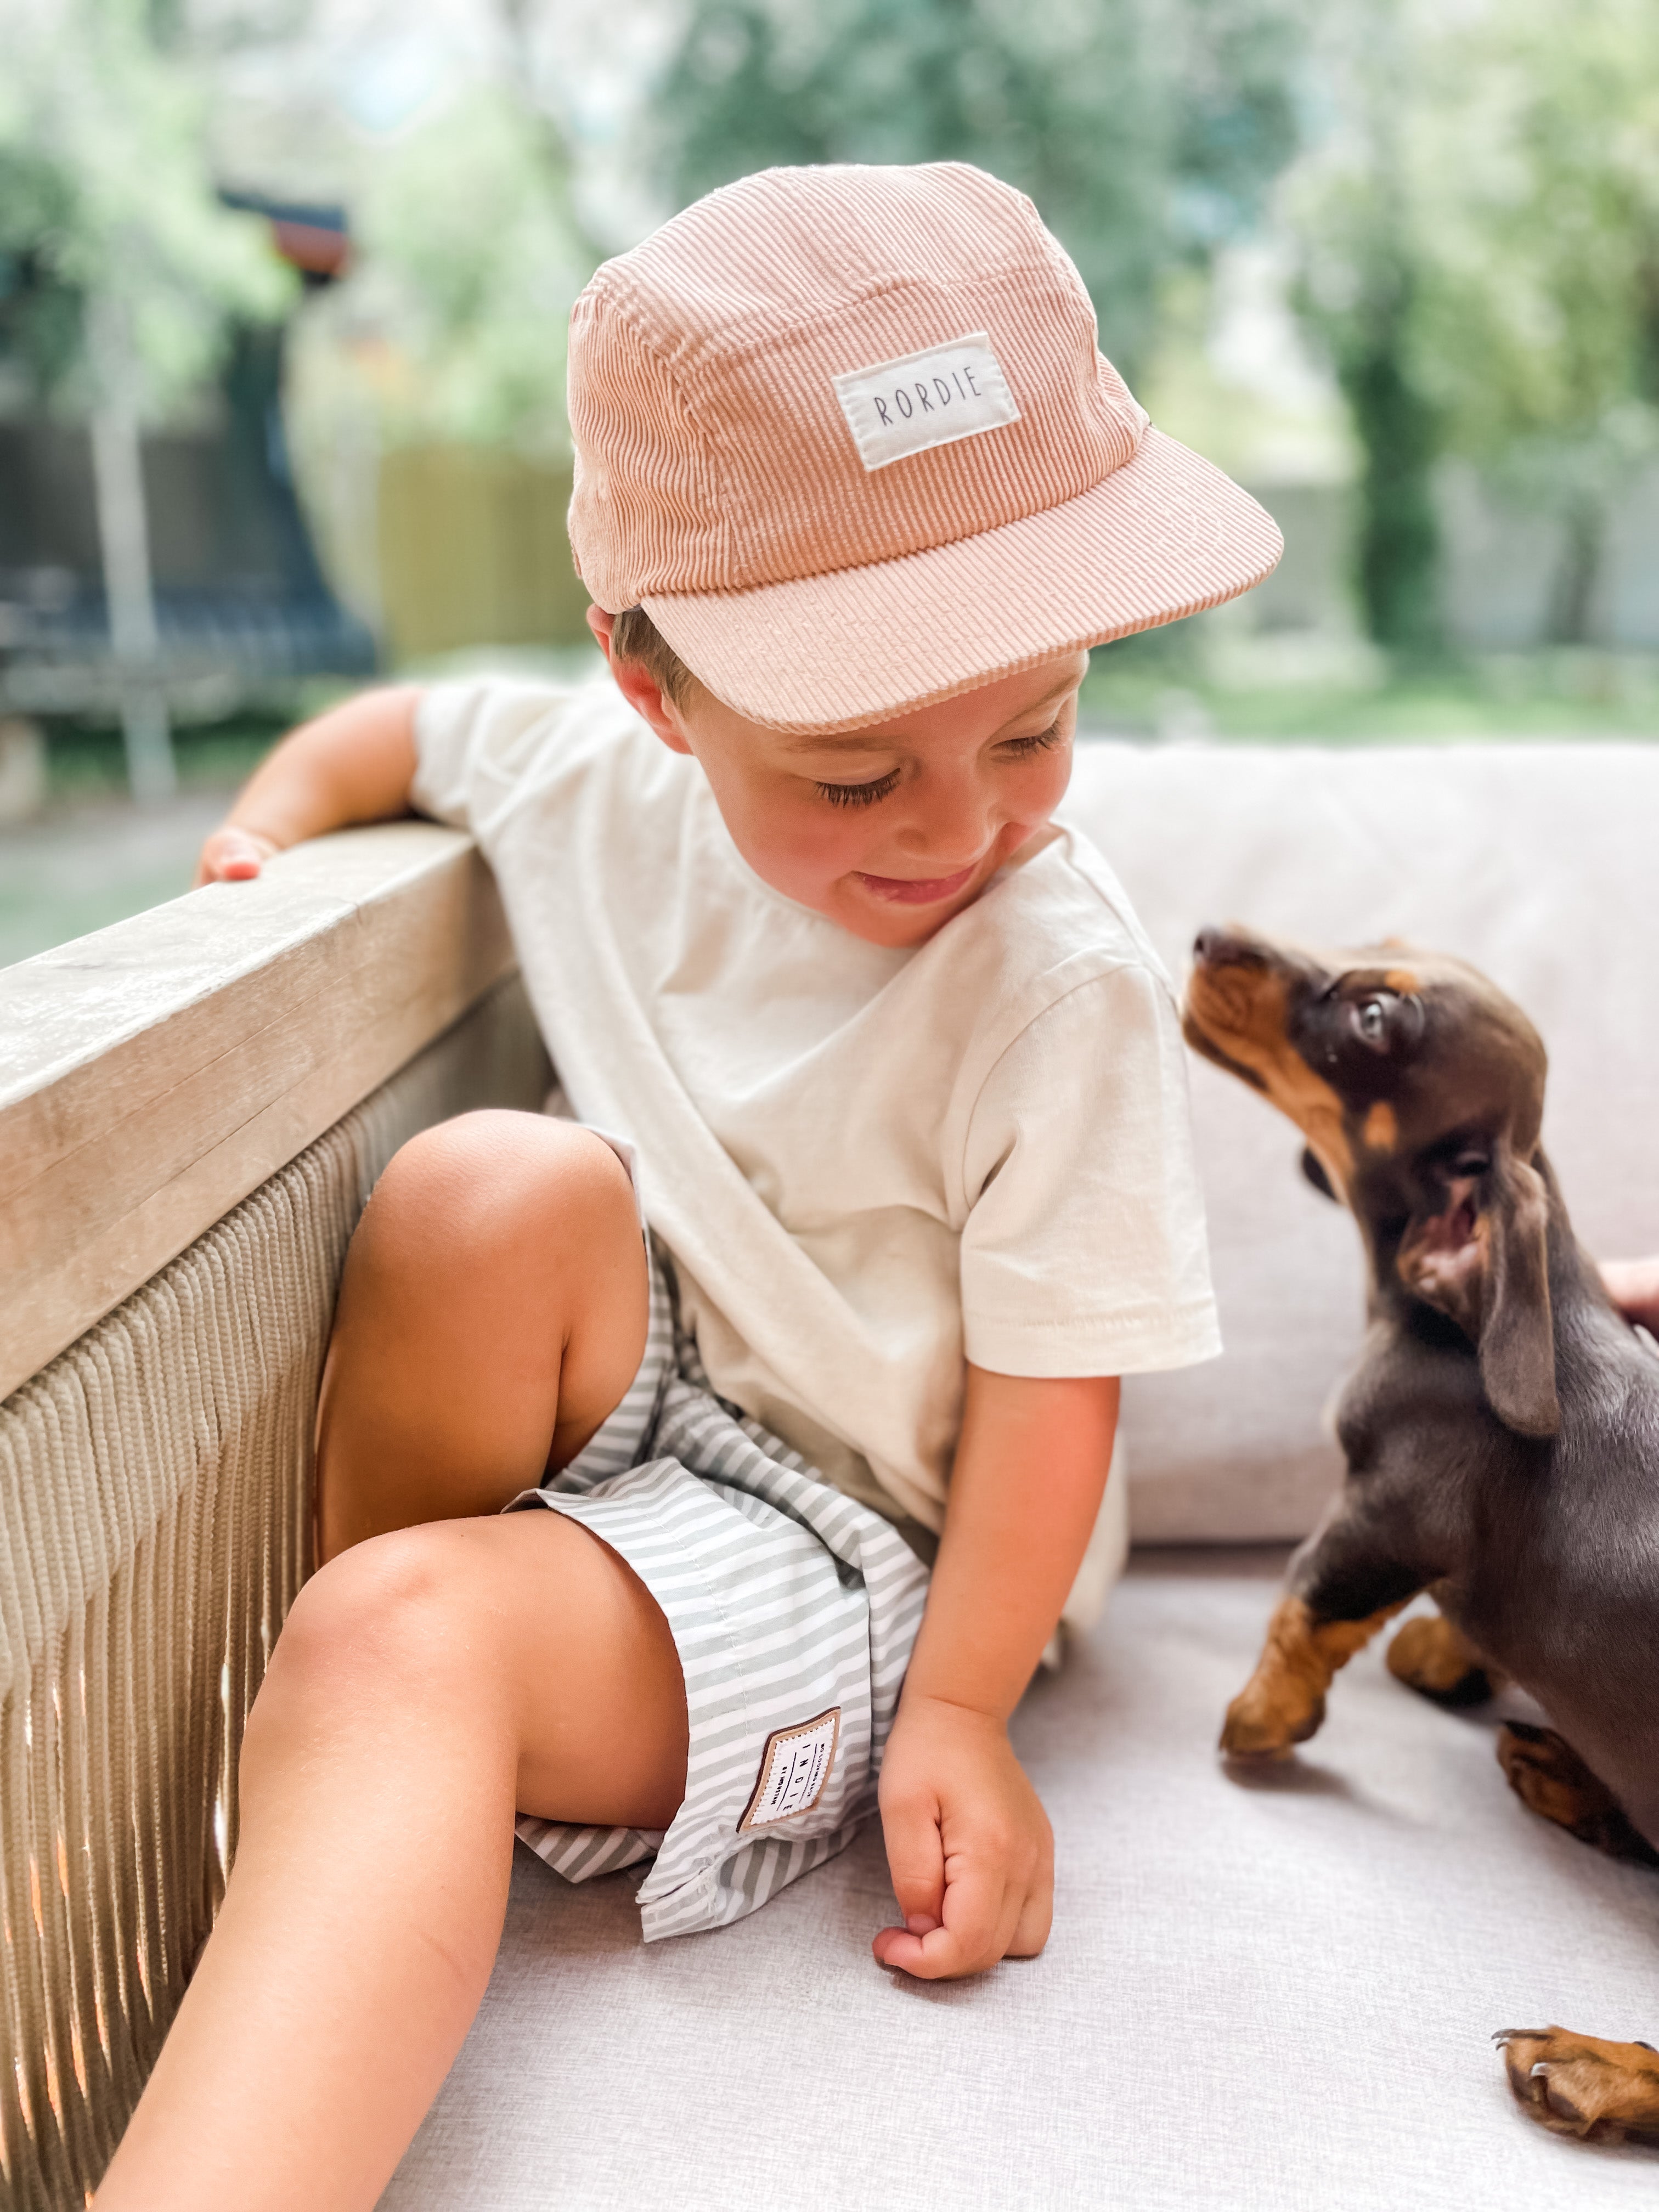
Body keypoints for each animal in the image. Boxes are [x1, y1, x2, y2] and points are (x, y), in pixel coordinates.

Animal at [1186, 929, 1659, 2141]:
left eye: (1374, 1020)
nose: (1207, 939)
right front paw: (1445, 1655)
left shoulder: (1381, 1511)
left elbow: (1300, 1606)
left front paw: (1261, 1717)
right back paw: (1573, 1781)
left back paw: (1593, 2066)